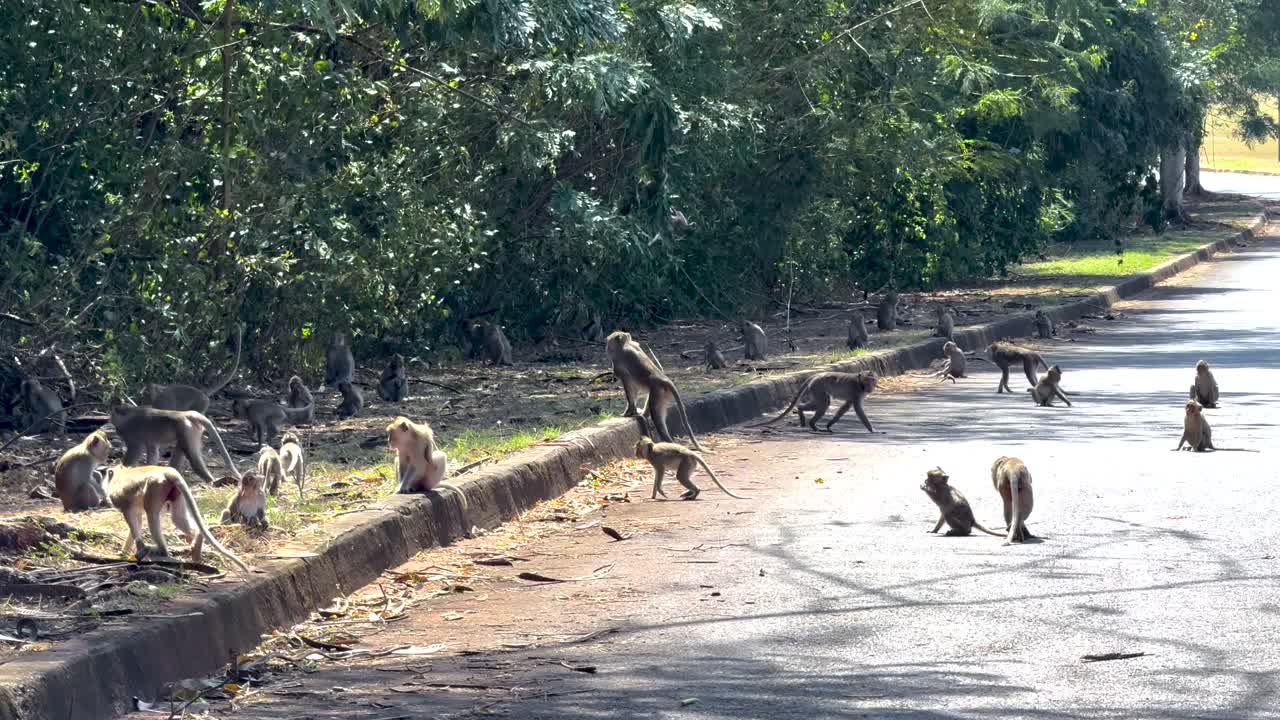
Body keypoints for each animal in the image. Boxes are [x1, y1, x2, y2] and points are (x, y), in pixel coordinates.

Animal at [103, 464, 250, 571]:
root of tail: (167, 471)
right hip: (176, 492)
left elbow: (131, 517)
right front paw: (125, 551)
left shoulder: (123, 502)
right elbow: (137, 519)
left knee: (152, 515)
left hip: (155, 487)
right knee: (177, 518)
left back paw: (162, 552)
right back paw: (197, 543)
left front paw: (139, 549)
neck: (120, 474)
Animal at [110, 405, 241, 484]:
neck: (129, 414)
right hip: (191, 431)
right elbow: (153, 450)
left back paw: (210, 481)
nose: (116, 430)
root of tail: (187, 414)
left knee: (191, 455)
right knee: (182, 448)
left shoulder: (131, 433)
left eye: (113, 418)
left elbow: (135, 451)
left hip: (186, 429)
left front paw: (120, 472)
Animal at [750, 371, 878, 433]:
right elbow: (858, 410)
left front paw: (829, 425)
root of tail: (816, 375)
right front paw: (872, 429)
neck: (860, 384)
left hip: (816, 388)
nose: (870, 387)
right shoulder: (857, 392)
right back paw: (806, 417)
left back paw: (808, 420)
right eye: (867, 380)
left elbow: (845, 407)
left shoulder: (856, 394)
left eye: (872, 380)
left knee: (824, 403)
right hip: (818, 387)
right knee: (823, 404)